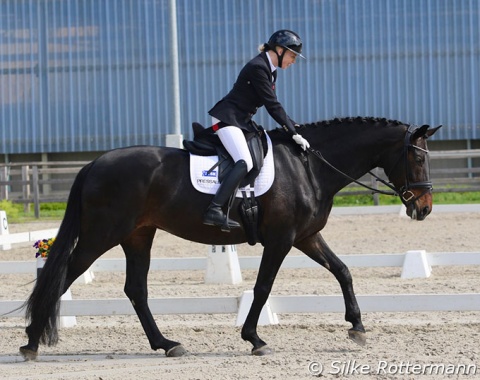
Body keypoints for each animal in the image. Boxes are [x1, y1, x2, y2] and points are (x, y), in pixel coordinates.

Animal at [19, 116, 442, 360]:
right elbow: (263, 287)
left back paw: (167, 344)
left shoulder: (306, 237)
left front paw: (356, 327)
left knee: (135, 289)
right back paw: (31, 342)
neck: (308, 167)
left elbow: (343, 271)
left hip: (138, 235)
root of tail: (94, 163)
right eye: (418, 158)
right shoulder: (282, 239)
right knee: (61, 277)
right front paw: (254, 338)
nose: (424, 209)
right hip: (102, 234)